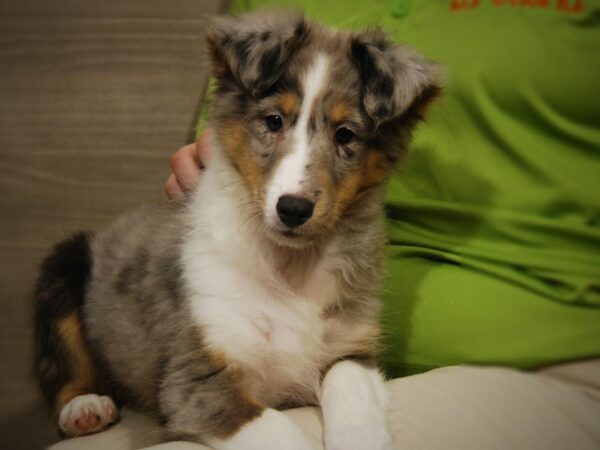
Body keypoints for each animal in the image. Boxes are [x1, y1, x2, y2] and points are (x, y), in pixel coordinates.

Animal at [34, 12, 440, 450]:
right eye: (273, 121)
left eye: (345, 134)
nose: (293, 209)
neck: (290, 266)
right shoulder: (195, 380)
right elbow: (280, 432)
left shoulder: (350, 351)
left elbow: (352, 395)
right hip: (64, 266)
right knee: (61, 367)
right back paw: (85, 407)